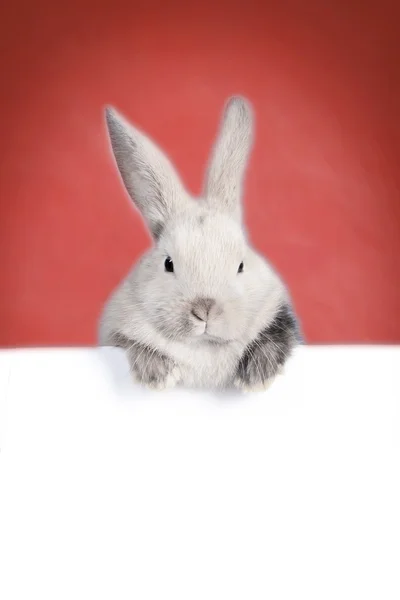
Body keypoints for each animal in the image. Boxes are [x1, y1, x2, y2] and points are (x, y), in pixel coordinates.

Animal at [98, 96, 302, 392]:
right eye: (168, 263)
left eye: (241, 265)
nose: (205, 309)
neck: (204, 349)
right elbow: (134, 344)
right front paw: (159, 375)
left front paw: (257, 376)